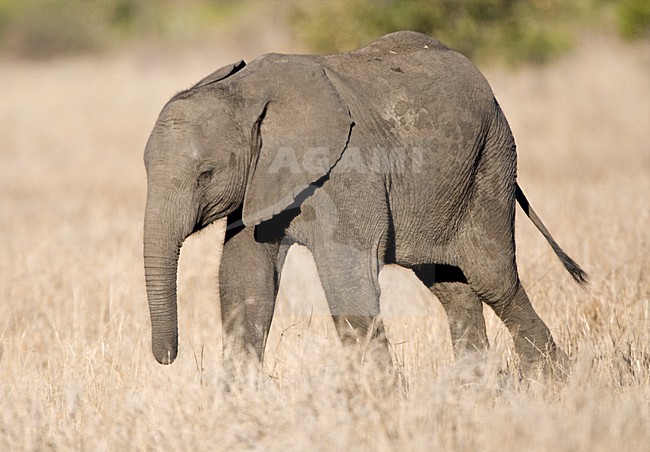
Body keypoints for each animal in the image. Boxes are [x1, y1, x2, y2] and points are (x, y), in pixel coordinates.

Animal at [143, 31, 587, 378]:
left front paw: (380, 400)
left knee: (494, 280)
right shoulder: (260, 183)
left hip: (490, 164)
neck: (245, 92)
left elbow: (348, 279)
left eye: (206, 174)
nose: (166, 358)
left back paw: (552, 381)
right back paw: (473, 388)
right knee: (452, 287)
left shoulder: (349, 170)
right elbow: (244, 280)